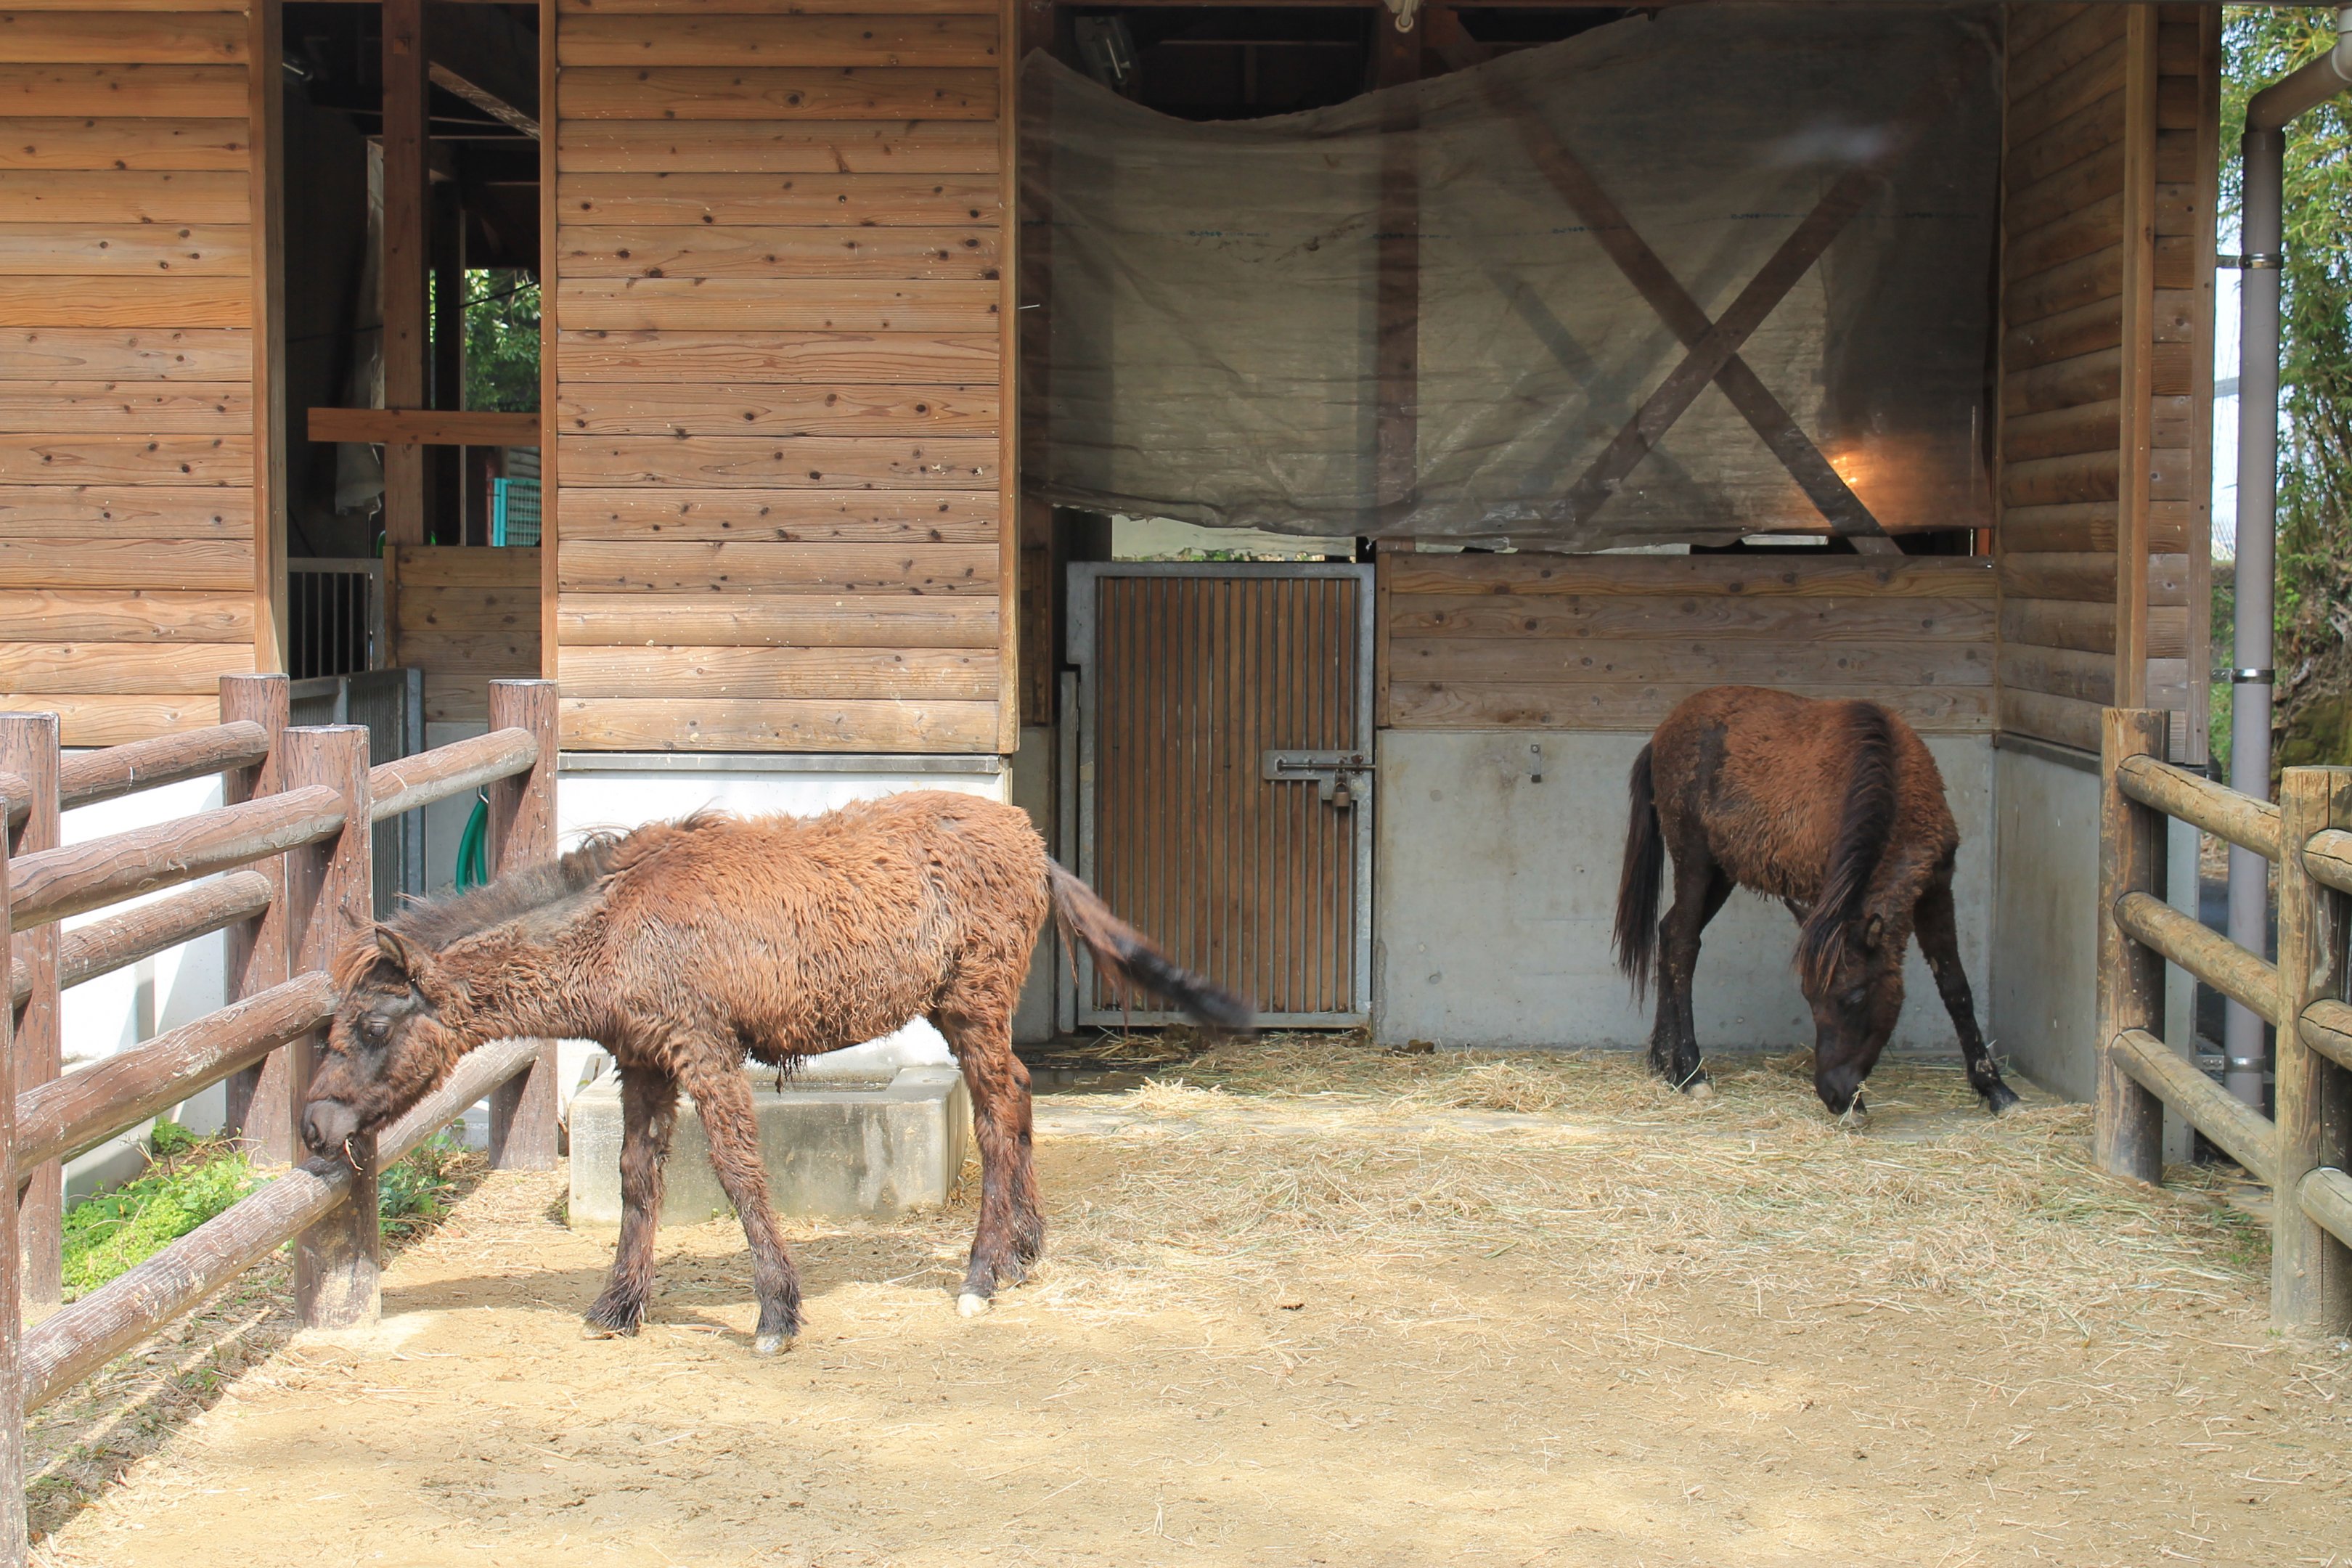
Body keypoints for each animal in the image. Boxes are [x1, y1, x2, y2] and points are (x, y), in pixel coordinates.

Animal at [299, 791, 1251, 1353]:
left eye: (373, 1026)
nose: (315, 1126)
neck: (616, 926)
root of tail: (1028, 836)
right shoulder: (645, 1062)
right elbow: (638, 1178)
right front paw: (618, 1306)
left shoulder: (703, 1048)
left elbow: (738, 1171)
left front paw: (776, 1313)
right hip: (962, 1009)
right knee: (1015, 1102)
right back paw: (1023, 1252)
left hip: (973, 1001)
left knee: (995, 1113)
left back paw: (982, 1274)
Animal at [1611, 686, 2018, 1118]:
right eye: (1809, 998)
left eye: (1855, 997)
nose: (1835, 1095)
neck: (1892, 779)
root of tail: (1660, 736)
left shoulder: (1936, 887)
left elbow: (1955, 985)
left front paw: (1996, 1088)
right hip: (1695, 861)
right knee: (1684, 948)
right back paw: (1689, 1072)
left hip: (1722, 872)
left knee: (1670, 933)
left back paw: (1663, 1061)